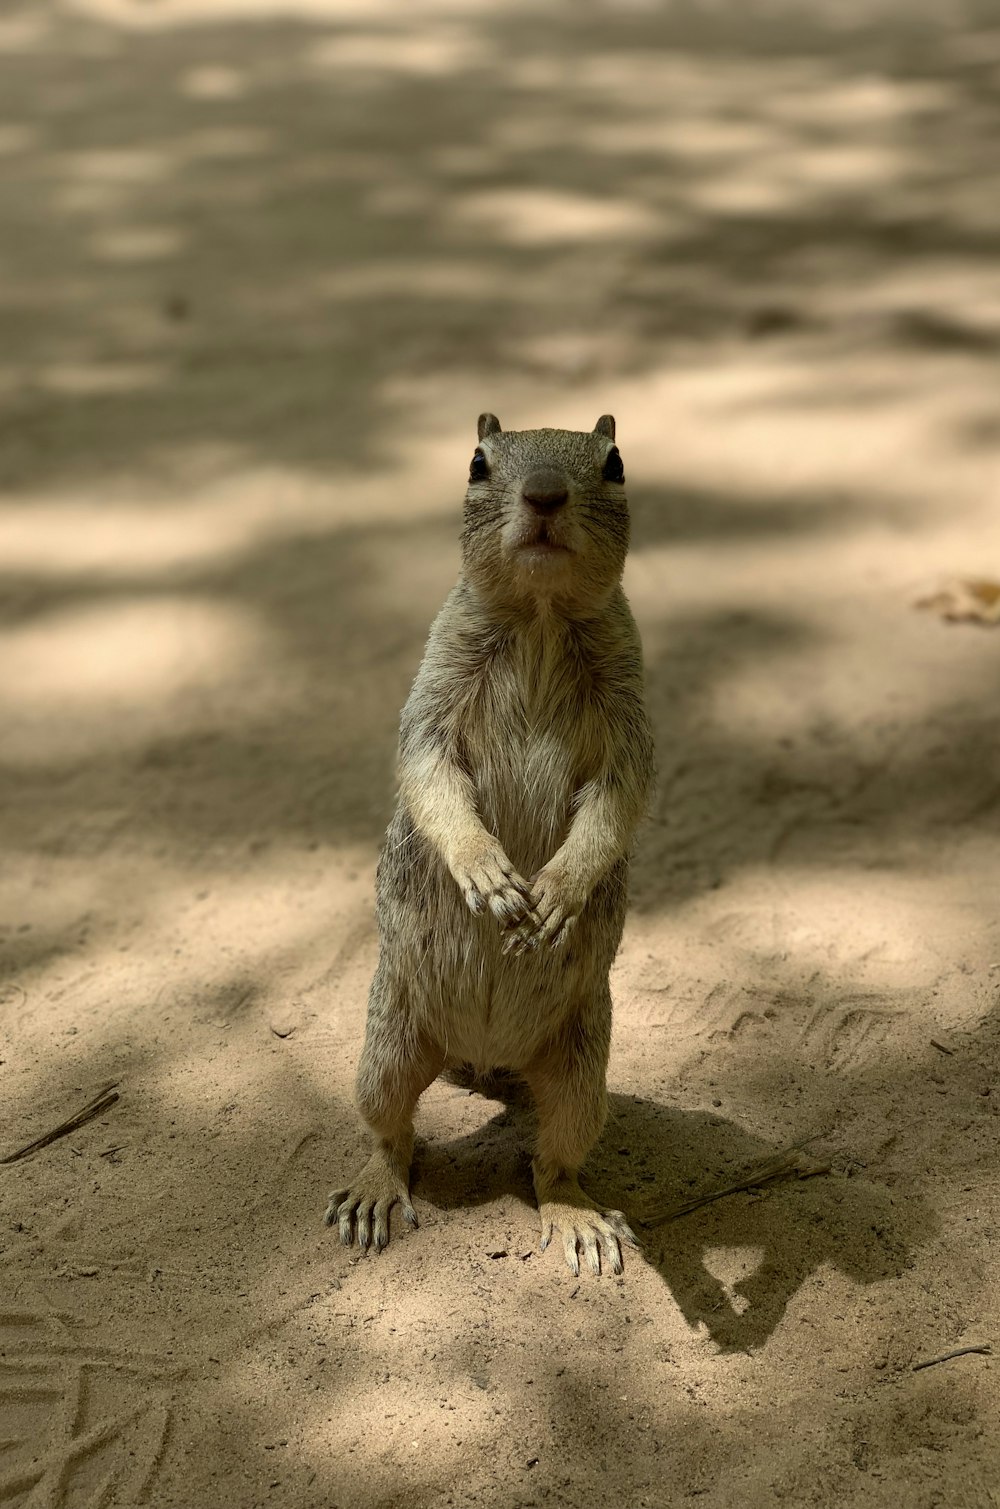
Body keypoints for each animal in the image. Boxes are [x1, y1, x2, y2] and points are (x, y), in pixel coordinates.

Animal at [327, 410, 657, 1273]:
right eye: (476, 463)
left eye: (616, 463)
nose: (543, 494)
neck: (539, 615)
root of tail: (486, 1054)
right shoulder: (435, 687)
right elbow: (427, 768)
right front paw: (488, 875)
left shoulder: (630, 717)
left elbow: (620, 797)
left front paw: (558, 892)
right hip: (388, 1039)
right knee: (391, 1131)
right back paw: (375, 1189)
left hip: (581, 1069)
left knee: (552, 1162)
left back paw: (578, 1217)